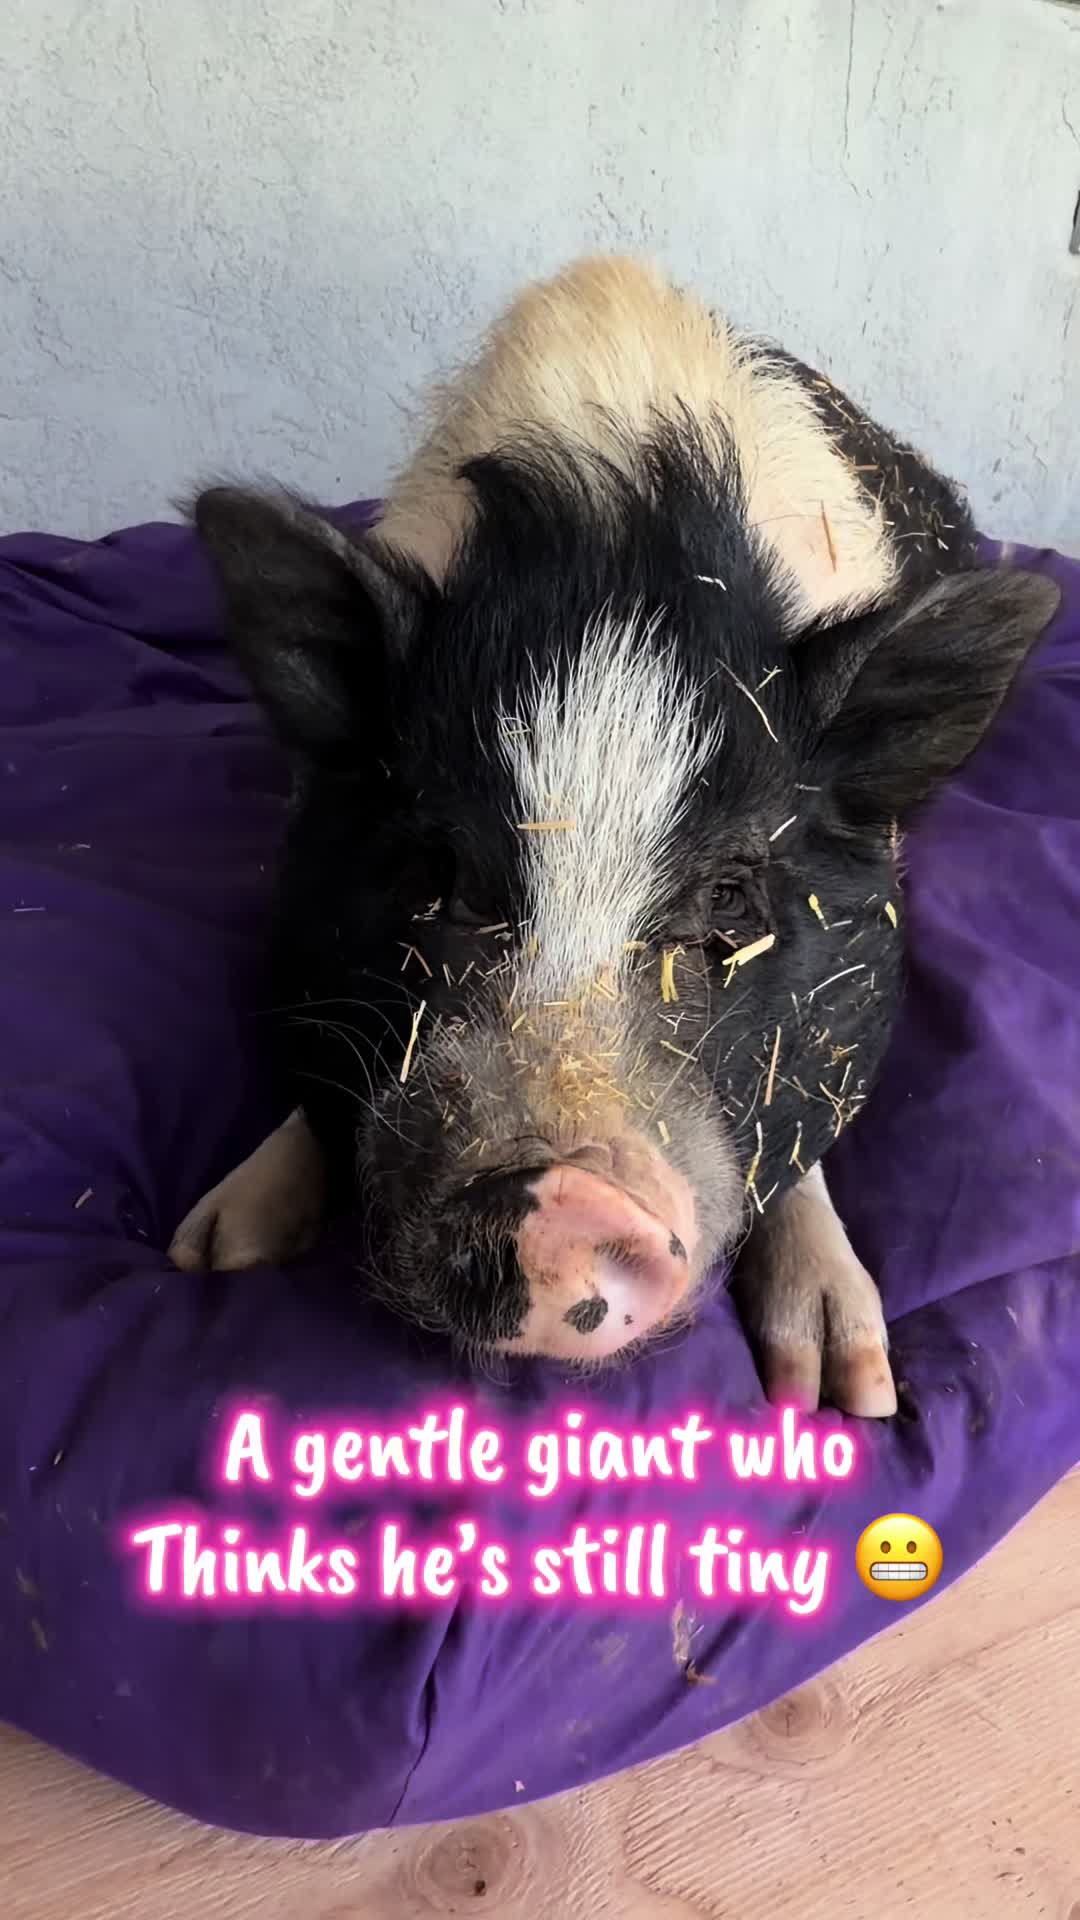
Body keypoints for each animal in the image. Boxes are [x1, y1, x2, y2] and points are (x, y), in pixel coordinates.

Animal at [169, 256, 1059, 1417]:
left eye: (730, 899)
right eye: (443, 874)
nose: (558, 1197)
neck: (628, 520)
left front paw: (842, 1391)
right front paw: (212, 1253)